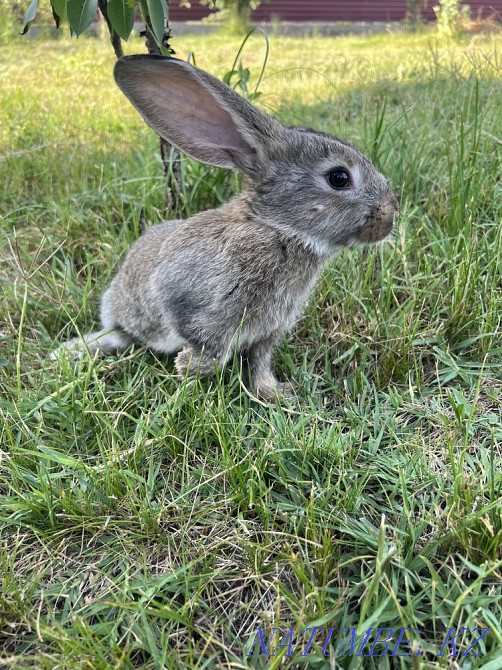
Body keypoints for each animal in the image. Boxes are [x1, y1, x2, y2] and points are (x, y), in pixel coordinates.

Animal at [51, 55, 398, 401]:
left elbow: (259, 365)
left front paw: (275, 394)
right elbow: (211, 354)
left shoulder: (267, 333)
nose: (391, 214)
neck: (277, 229)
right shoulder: (186, 298)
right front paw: (187, 365)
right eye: (339, 177)